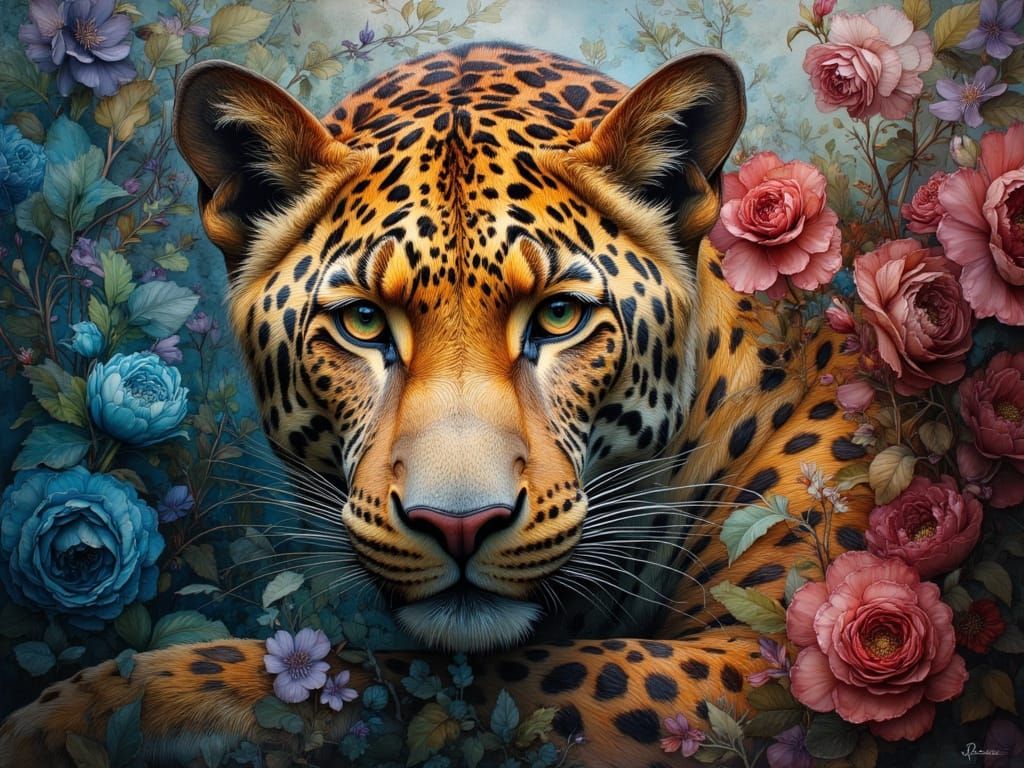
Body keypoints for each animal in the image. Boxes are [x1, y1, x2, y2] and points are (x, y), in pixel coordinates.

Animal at [0, 42, 875, 767]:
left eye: (559, 316)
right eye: (362, 323)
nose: (460, 525)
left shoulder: (760, 660)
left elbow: (417, 679)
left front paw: (89, 707)